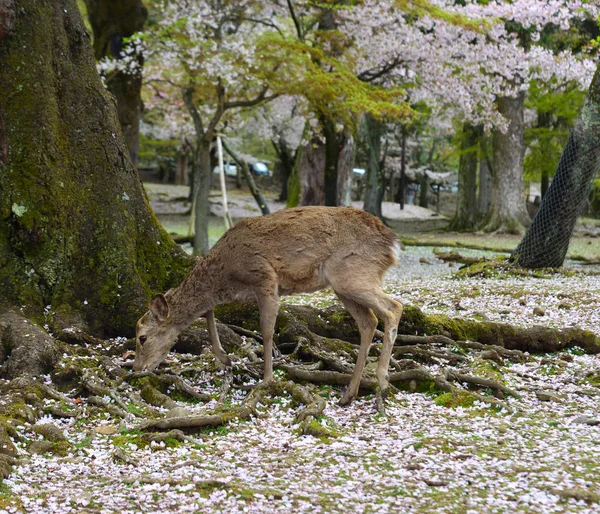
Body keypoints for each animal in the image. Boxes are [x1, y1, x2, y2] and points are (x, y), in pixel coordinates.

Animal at [134, 204, 400, 404]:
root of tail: (392, 244)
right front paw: (225, 358)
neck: (225, 273)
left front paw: (266, 379)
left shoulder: (265, 277)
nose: (137, 369)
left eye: (142, 337)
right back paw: (349, 393)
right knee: (368, 321)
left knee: (394, 308)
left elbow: (267, 330)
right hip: (343, 284)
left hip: (353, 274)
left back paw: (383, 382)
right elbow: (209, 311)